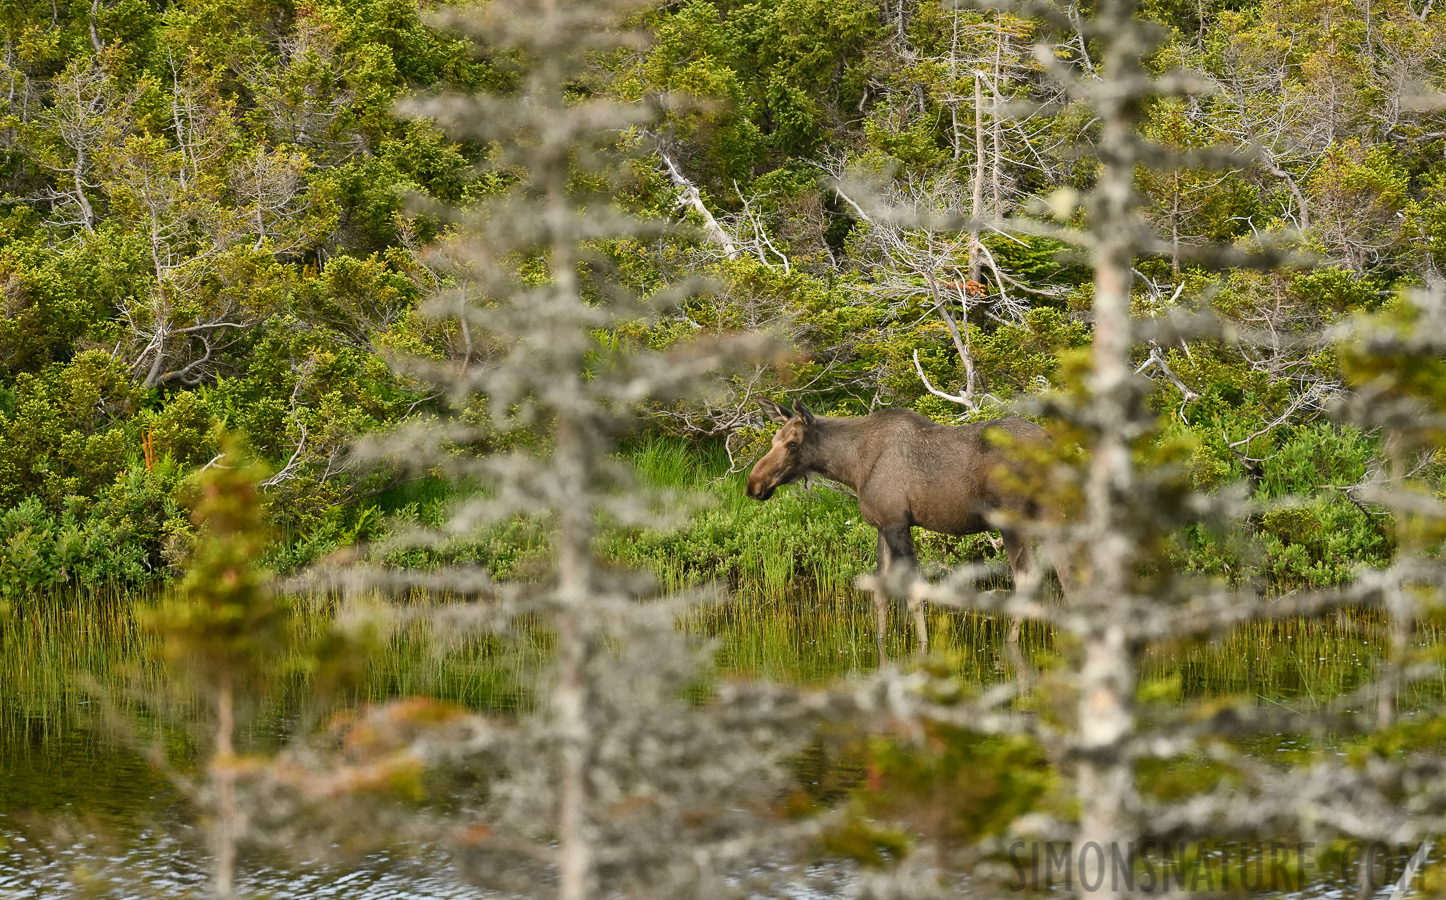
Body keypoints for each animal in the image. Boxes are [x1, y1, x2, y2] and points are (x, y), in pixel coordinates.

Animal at [746, 399, 1064, 659]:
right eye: (774, 439)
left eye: (792, 444)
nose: (753, 485)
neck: (851, 467)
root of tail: (1053, 444)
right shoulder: (881, 525)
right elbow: (881, 591)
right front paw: (880, 642)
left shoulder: (897, 523)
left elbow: (914, 592)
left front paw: (923, 646)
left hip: (1012, 519)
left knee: (1027, 577)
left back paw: (1010, 644)